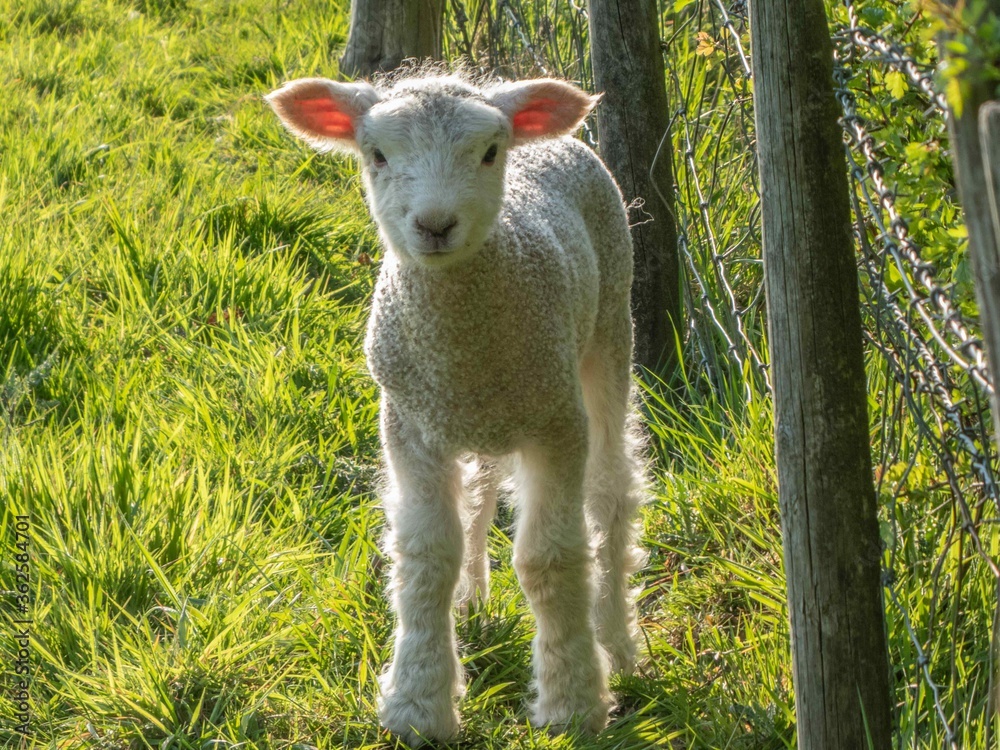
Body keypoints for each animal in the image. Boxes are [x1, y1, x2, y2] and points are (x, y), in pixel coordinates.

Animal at [266, 71, 646, 745]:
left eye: (490, 152)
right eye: (377, 154)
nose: (436, 225)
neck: (463, 338)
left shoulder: (556, 423)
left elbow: (551, 558)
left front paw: (573, 705)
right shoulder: (411, 425)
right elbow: (427, 557)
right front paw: (418, 705)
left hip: (608, 330)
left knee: (611, 493)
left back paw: (617, 642)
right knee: (481, 491)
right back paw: (472, 602)